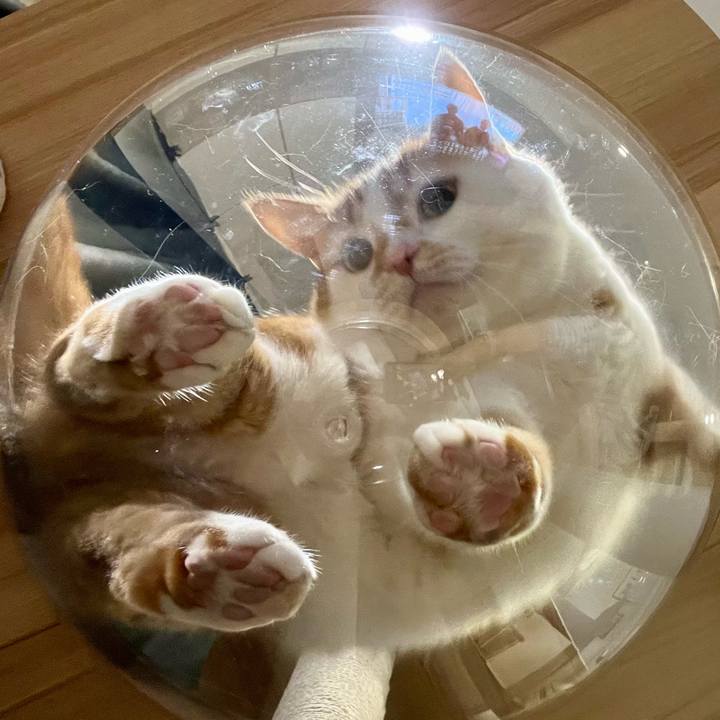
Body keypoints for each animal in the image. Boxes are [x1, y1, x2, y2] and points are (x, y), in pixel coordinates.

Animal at [6, 49, 719, 714]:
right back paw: (165, 329)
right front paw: (478, 479)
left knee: (120, 557)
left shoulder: (646, 406)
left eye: (437, 198)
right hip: (278, 371)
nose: (400, 257)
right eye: (355, 254)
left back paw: (222, 572)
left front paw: (479, 482)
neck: (525, 329)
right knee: (81, 375)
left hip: (126, 524)